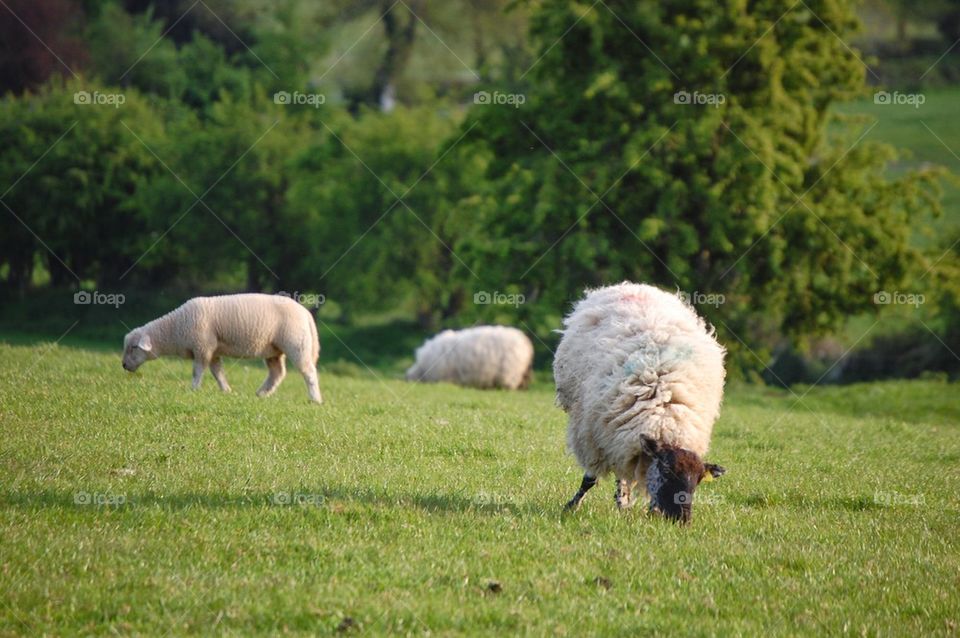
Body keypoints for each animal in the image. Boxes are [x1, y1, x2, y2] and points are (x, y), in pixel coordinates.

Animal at [122, 293, 322, 403]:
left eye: (133, 347)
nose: (123, 365)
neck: (175, 328)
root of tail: (306, 313)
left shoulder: (203, 347)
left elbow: (197, 371)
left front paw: (193, 389)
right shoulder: (212, 350)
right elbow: (217, 371)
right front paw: (226, 390)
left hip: (297, 345)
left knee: (309, 372)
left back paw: (315, 399)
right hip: (273, 348)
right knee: (277, 373)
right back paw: (262, 393)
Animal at [554, 282, 726, 524]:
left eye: (699, 479)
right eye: (666, 471)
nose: (682, 520)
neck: (665, 412)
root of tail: (636, 286)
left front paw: (642, 509)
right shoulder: (595, 434)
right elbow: (590, 478)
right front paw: (571, 506)